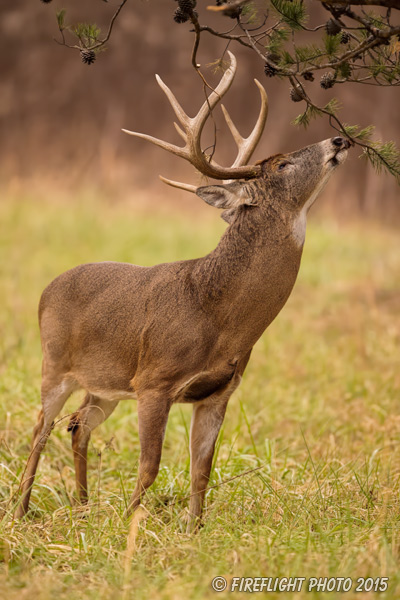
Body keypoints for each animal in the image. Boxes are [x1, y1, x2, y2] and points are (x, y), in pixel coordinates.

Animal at [15, 52, 348, 528]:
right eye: (282, 165)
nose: (339, 139)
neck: (219, 316)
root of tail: (46, 288)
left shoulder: (219, 391)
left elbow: (201, 471)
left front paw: (194, 530)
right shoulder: (155, 380)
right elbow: (150, 465)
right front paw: (130, 524)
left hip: (106, 382)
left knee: (78, 425)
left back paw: (82, 507)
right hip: (54, 363)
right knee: (40, 428)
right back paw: (21, 511)